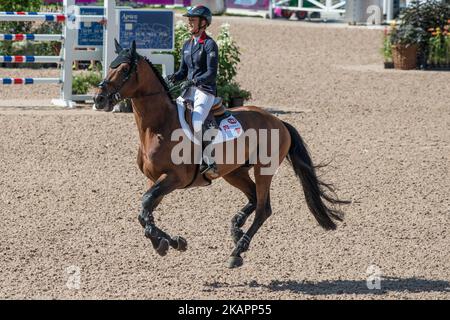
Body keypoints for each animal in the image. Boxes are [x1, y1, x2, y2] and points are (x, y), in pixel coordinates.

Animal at [94, 40, 348, 268]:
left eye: (124, 69)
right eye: (110, 66)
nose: (99, 98)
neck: (157, 126)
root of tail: (279, 121)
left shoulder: (174, 178)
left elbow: (146, 204)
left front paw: (163, 242)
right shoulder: (154, 179)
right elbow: (144, 211)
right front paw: (171, 242)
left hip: (263, 170)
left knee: (263, 208)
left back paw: (237, 251)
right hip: (234, 172)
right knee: (253, 198)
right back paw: (236, 228)